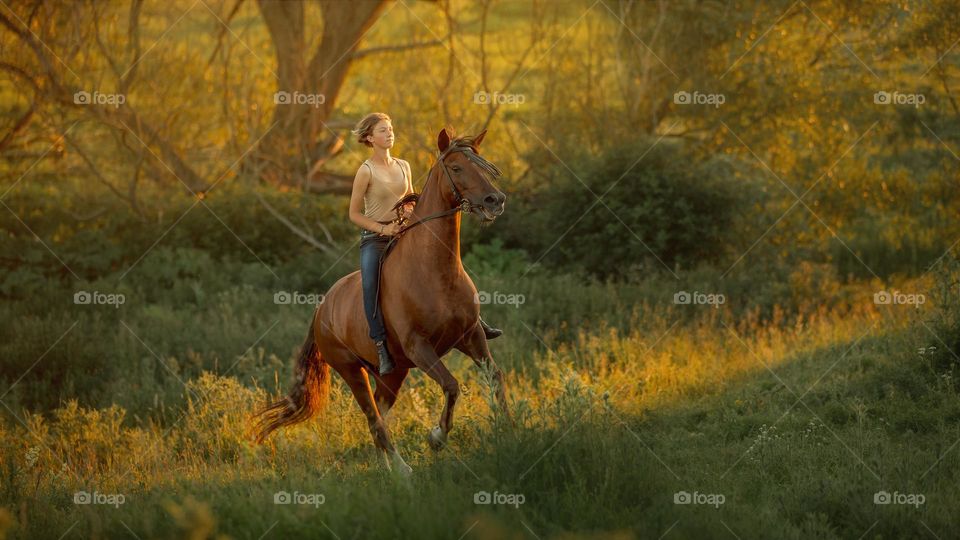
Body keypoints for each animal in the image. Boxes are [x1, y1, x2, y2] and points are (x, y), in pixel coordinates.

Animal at [253, 126, 510, 472]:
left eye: (485, 166)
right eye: (456, 168)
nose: (495, 200)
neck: (435, 271)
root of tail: (321, 309)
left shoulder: (471, 337)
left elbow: (495, 378)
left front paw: (511, 431)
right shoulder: (419, 347)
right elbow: (452, 385)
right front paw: (437, 437)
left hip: (394, 372)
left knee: (379, 415)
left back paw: (388, 469)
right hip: (352, 371)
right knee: (374, 417)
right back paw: (401, 472)